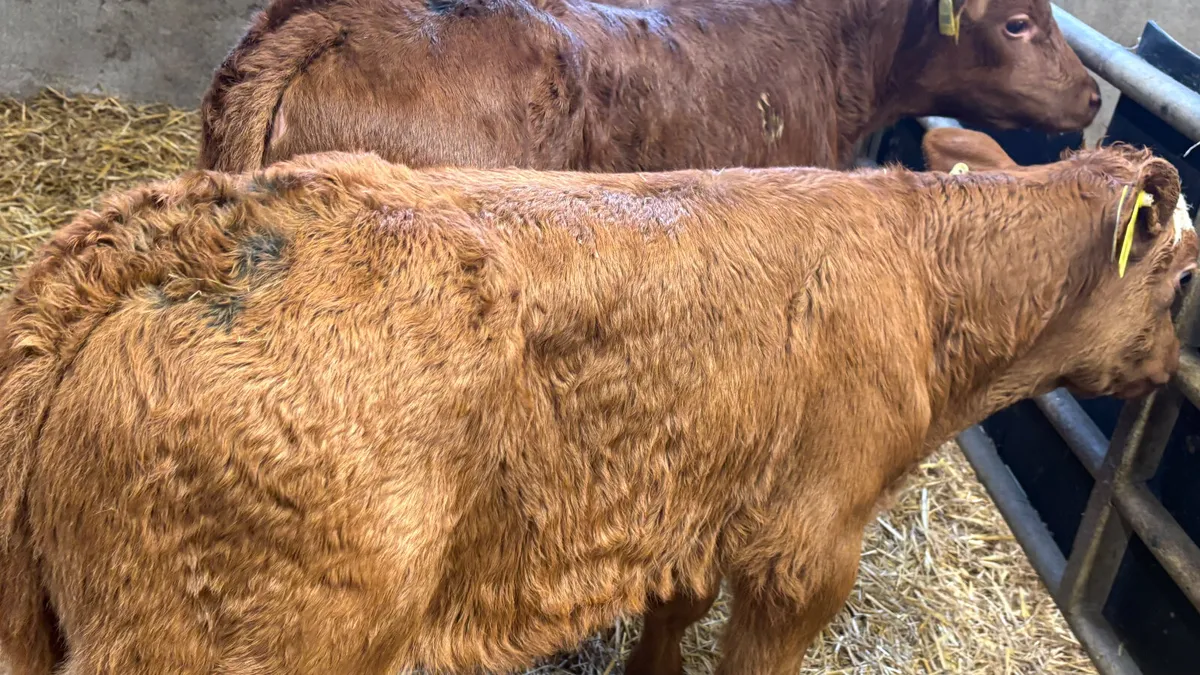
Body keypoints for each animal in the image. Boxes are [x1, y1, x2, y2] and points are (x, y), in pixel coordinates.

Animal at [2, 130, 1193, 675]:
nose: (1165, 369)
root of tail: (190, 223)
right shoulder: (809, 543)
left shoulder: (694, 500)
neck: (922, 275)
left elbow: (669, 616)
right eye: (1182, 278)